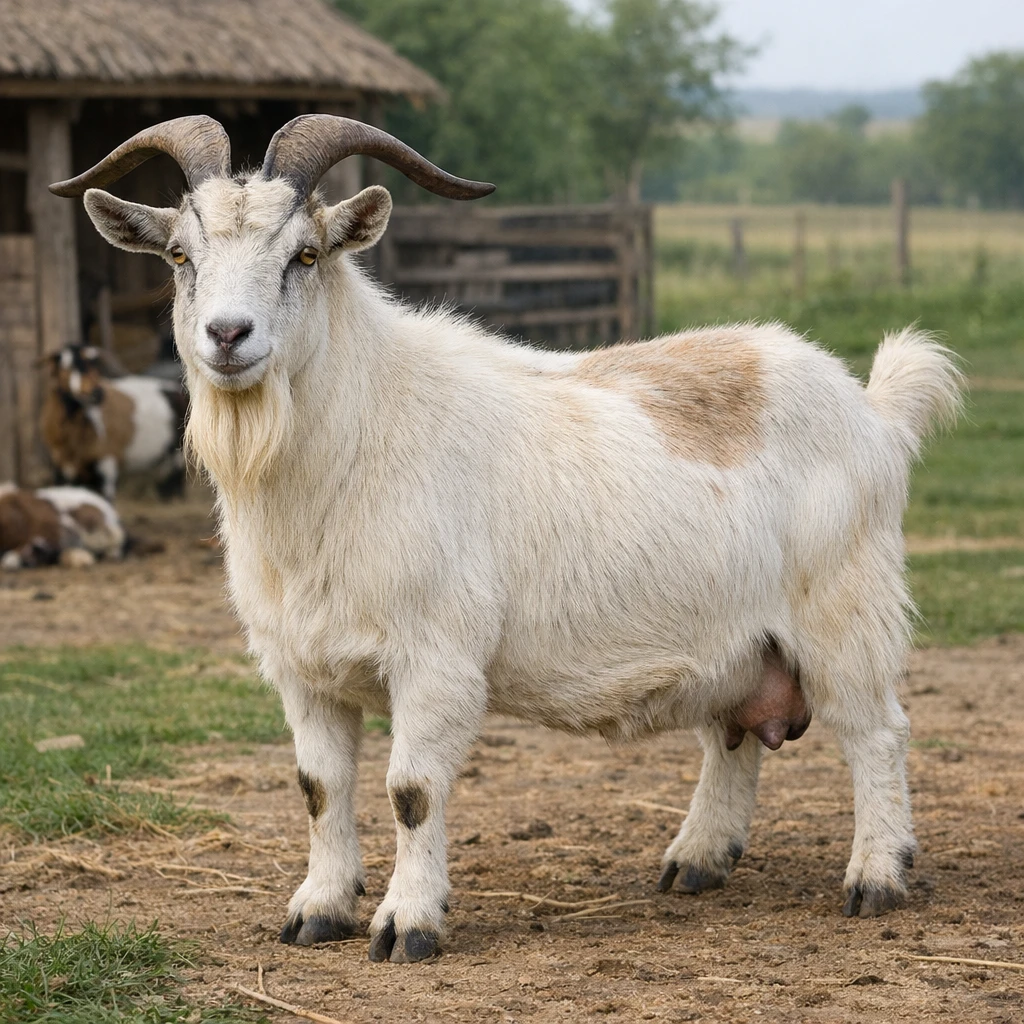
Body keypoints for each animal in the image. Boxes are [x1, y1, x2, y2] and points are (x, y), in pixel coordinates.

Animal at [40, 345, 187, 501]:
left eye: (93, 365)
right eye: (66, 366)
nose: (97, 393)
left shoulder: (107, 465)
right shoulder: (61, 470)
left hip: (177, 451)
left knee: (176, 474)